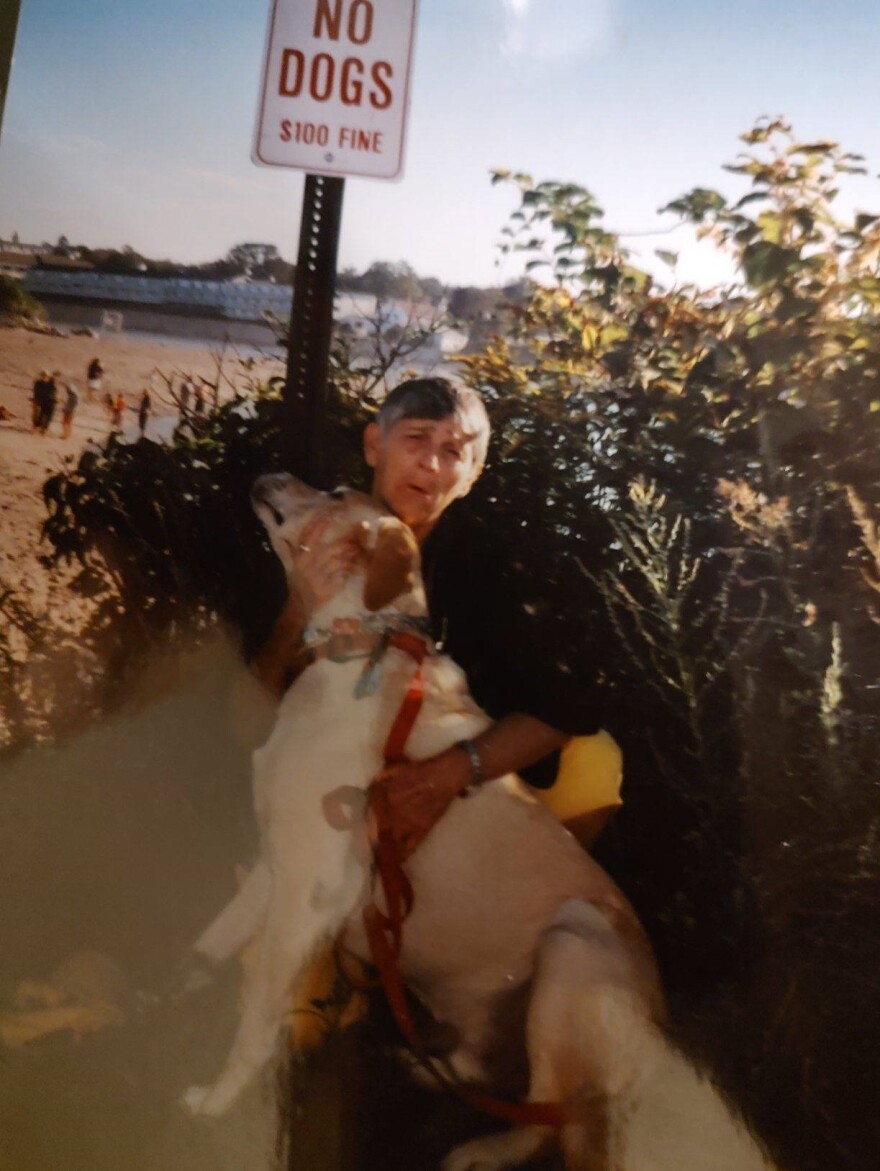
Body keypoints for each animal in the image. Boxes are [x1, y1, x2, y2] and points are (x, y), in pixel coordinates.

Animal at [182, 473, 773, 1171]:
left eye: (336, 492)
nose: (267, 475)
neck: (361, 650)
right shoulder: (277, 861)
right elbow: (214, 940)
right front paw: (170, 991)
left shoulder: (306, 895)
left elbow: (255, 1013)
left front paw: (217, 1099)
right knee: (494, 1075)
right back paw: (427, 1063)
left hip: (573, 945)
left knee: (548, 1115)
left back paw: (483, 1150)